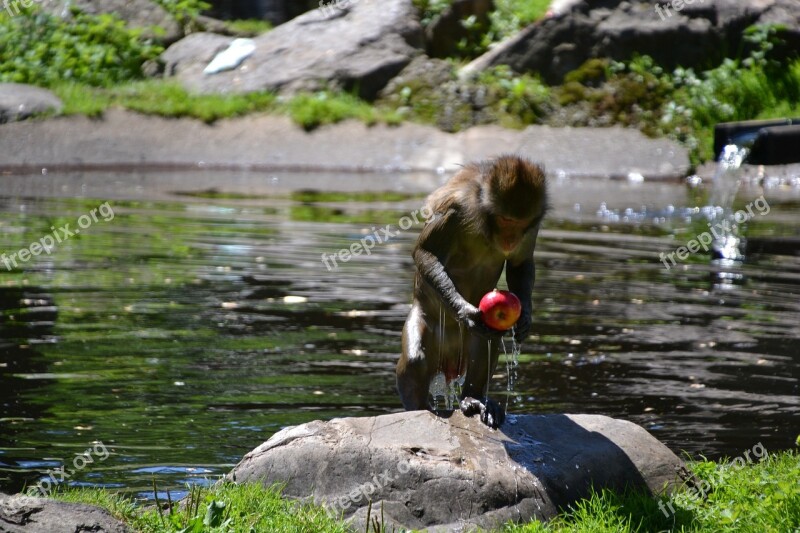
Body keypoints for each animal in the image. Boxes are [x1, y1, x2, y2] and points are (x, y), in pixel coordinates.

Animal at [396, 154, 548, 428]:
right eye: (506, 220)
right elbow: (425, 253)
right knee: (416, 359)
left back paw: (474, 399)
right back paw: (420, 409)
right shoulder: (456, 209)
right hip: (429, 329)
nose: (511, 238)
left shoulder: (533, 226)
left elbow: (521, 263)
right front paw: (464, 311)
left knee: (486, 341)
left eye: (520, 224)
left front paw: (526, 317)